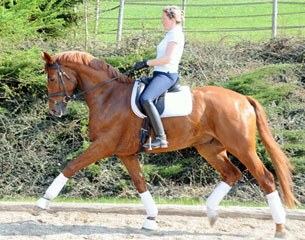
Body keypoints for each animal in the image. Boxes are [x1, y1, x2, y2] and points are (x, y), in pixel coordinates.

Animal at [36, 50, 296, 238]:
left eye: (52, 78)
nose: (54, 111)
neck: (108, 95)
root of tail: (242, 99)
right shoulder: (126, 153)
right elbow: (140, 183)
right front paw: (151, 219)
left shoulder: (104, 145)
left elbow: (72, 166)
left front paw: (43, 202)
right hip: (210, 147)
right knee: (231, 173)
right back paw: (211, 213)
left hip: (241, 146)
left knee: (265, 177)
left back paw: (280, 228)